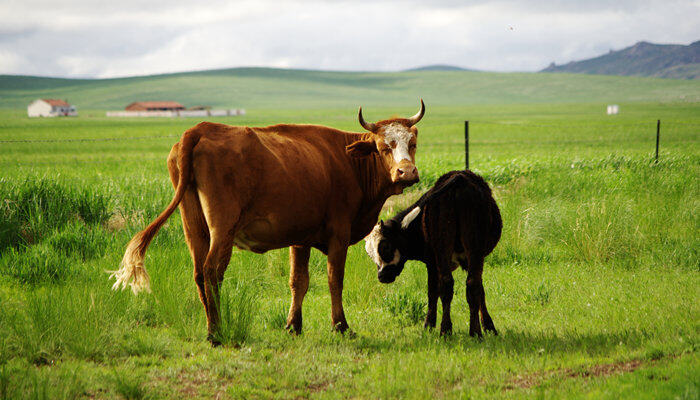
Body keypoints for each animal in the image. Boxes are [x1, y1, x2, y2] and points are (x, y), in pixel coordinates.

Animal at [108, 101, 426, 342]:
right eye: (384, 147)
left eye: (412, 143)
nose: (407, 172)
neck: (349, 163)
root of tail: (200, 129)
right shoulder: (339, 234)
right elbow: (334, 280)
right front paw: (341, 326)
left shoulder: (301, 238)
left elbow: (298, 281)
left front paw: (293, 326)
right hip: (222, 228)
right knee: (212, 272)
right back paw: (216, 333)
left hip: (194, 227)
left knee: (199, 273)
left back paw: (211, 327)